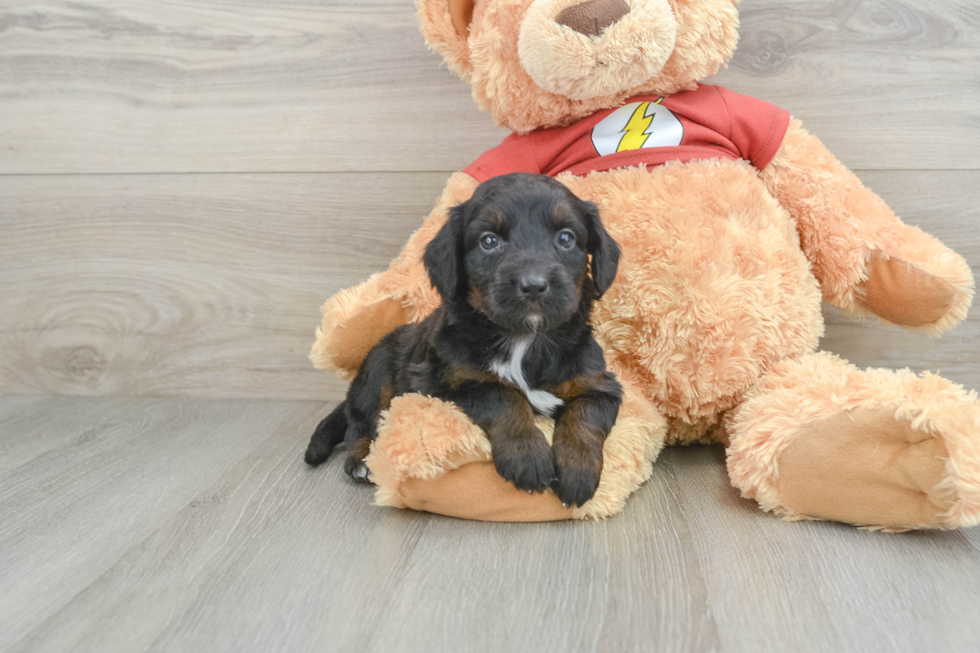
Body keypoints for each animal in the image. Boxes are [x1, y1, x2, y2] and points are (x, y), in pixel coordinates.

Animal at [304, 172, 620, 504]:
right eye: (489, 241)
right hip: (376, 371)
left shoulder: (599, 384)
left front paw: (577, 470)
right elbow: (502, 395)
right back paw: (361, 459)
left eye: (566, 238)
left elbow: (585, 417)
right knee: (361, 421)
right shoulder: (444, 384)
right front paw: (528, 456)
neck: (524, 338)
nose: (533, 285)